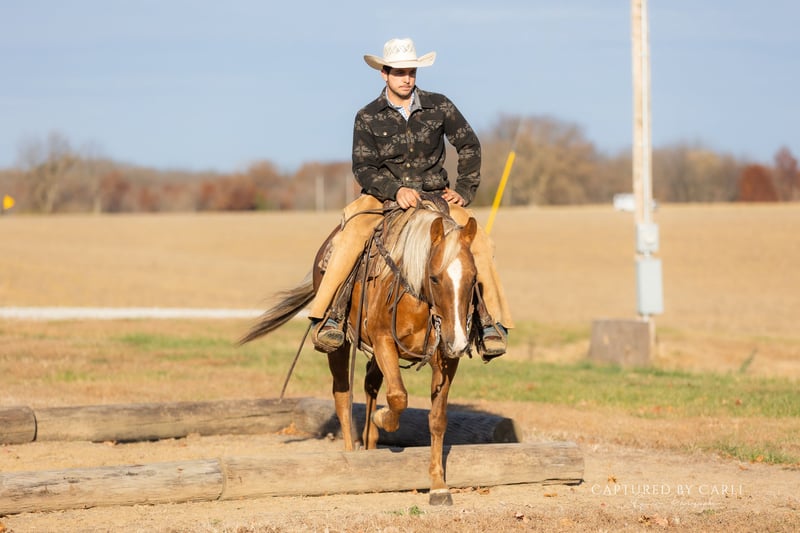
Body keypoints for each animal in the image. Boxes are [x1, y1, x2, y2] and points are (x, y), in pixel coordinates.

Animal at [240, 199, 480, 505]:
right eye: (435, 278)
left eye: (473, 278)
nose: (458, 341)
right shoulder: (383, 341)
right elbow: (398, 396)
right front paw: (382, 419)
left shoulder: (445, 360)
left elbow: (437, 420)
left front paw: (438, 485)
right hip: (339, 347)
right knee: (343, 395)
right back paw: (351, 456)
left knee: (370, 385)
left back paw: (370, 443)